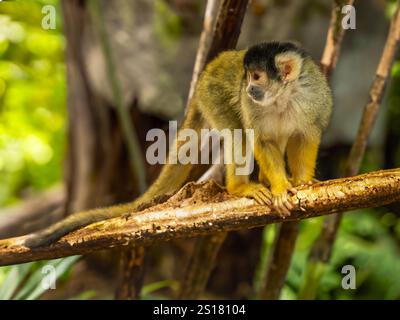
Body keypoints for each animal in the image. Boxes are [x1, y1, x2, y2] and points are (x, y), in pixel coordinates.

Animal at [23, 42, 332, 248]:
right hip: (213, 95)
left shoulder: (315, 96)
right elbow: (259, 139)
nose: (247, 88)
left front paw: (302, 181)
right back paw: (240, 188)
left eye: (256, 76)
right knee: (238, 132)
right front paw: (280, 188)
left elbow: (306, 135)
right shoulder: (251, 106)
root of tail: (210, 68)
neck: (284, 96)